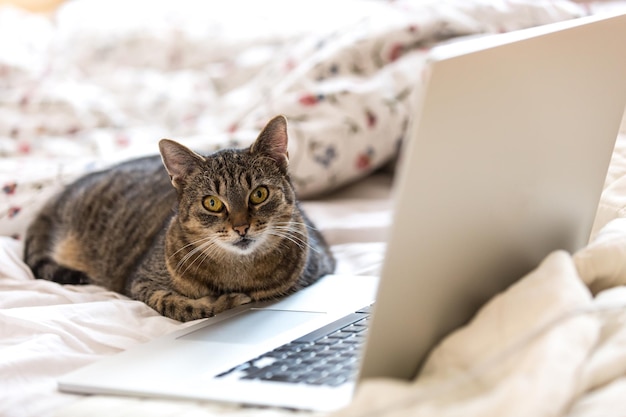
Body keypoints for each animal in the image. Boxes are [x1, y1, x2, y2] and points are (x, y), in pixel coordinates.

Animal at [23, 115, 334, 320]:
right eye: (212, 203)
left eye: (259, 194)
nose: (241, 227)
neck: (238, 271)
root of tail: (54, 198)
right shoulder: (142, 282)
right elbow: (179, 305)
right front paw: (225, 302)